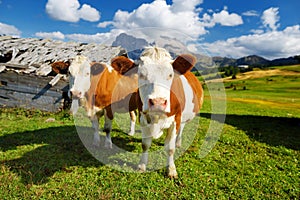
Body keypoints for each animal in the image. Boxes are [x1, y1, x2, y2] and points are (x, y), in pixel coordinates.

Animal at [117, 46, 204, 178]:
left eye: (170, 74)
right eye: (141, 74)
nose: (158, 102)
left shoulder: (175, 119)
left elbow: (170, 148)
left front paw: (171, 170)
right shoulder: (143, 118)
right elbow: (145, 144)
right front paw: (141, 166)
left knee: (181, 128)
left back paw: (178, 142)